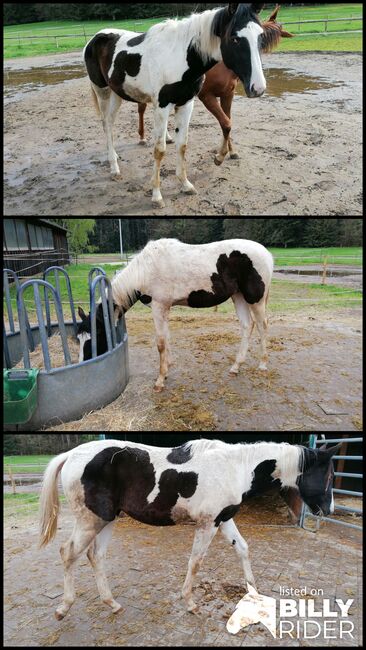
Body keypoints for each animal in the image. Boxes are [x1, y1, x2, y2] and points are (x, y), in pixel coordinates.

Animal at [38, 436, 338, 616]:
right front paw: (191, 603)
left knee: (94, 556)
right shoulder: (208, 524)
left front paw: (253, 592)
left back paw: (112, 604)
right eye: (327, 476)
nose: (329, 510)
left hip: (107, 519)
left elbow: (242, 548)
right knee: (68, 553)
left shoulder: (224, 519)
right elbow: (196, 561)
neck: (235, 468)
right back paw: (64, 608)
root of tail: (71, 455)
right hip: (91, 520)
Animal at [77, 238, 274, 390]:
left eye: (95, 337)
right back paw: (236, 366)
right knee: (247, 326)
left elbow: (160, 342)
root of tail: (267, 254)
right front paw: (167, 369)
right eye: (78, 338)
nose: (83, 362)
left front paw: (159, 381)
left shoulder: (159, 306)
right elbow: (167, 337)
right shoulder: (164, 308)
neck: (145, 270)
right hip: (238, 296)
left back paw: (263, 364)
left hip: (254, 300)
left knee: (262, 326)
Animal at [84, 2, 268, 205]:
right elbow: (159, 150)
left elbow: (182, 145)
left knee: (109, 122)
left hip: (117, 93)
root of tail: (96, 37)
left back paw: (115, 156)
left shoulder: (186, 104)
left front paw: (185, 184)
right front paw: (157, 195)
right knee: (106, 124)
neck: (179, 57)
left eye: (261, 35)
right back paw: (114, 167)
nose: (258, 88)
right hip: (102, 91)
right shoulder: (162, 106)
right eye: (235, 38)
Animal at [136, 5, 294, 165]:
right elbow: (225, 123)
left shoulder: (227, 94)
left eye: (260, 38)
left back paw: (167, 137)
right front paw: (220, 156)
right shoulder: (207, 96)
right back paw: (142, 138)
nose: (257, 87)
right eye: (235, 40)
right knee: (141, 108)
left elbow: (227, 122)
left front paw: (231, 152)